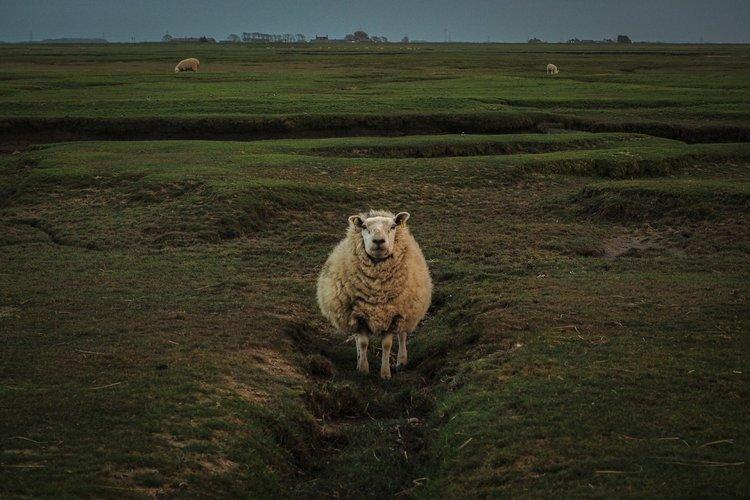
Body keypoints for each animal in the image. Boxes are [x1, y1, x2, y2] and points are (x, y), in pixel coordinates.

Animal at [318, 208, 434, 378]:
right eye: (364, 227)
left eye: (393, 226)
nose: (378, 241)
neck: (376, 288)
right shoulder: (357, 315)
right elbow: (362, 342)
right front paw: (363, 369)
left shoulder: (394, 314)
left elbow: (387, 345)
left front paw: (385, 373)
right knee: (357, 339)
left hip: (407, 310)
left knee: (402, 334)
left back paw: (401, 361)